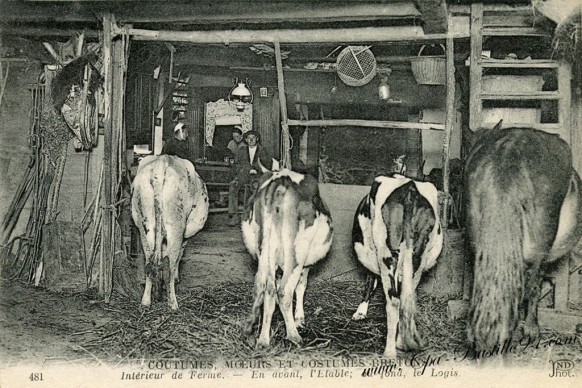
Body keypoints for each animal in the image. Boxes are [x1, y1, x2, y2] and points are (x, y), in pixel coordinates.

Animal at [131, 155, 209, 310]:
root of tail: (161, 162)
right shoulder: (185, 235)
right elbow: (179, 256)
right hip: (176, 228)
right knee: (170, 265)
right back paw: (173, 303)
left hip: (145, 227)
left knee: (150, 262)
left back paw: (146, 301)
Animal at [242, 169, 334, 346]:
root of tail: (279, 180)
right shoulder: (305, 265)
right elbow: (301, 286)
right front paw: (299, 319)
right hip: (297, 252)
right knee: (284, 291)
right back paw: (294, 335)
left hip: (264, 248)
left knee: (265, 289)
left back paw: (262, 339)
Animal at [354, 174, 444, 358]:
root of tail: (410, 187)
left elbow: (370, 281)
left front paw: (360, 312)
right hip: (417, 256)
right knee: (404, 300)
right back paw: (402, 343)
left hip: (386, 254)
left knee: (393, 302)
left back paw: (389, 352)